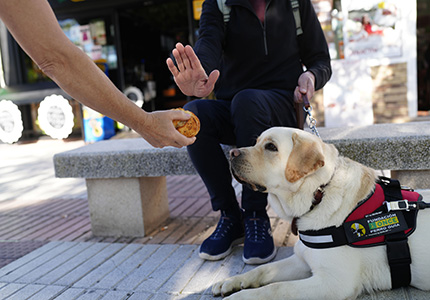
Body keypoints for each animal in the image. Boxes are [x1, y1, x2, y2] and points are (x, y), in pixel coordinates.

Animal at [212, 127, 430, 300]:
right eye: (256, 142)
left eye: (271, 147)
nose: (232, 153)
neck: (318, 194)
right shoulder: (301, 260)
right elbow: (263, 269)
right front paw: (232, 281)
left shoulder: (334, 283)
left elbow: (276, 288)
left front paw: (240, 296)